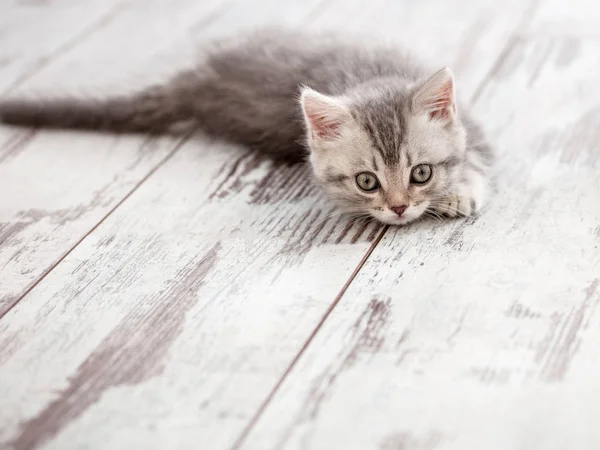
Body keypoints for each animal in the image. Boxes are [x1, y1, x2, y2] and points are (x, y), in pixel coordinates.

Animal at [0, 29, 492, 225]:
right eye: (367, 182)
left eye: (421, 173)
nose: (399, 208)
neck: (374, 74)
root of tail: (199, 81)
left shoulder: (475, 127)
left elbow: (477, 158)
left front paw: (458, 191)